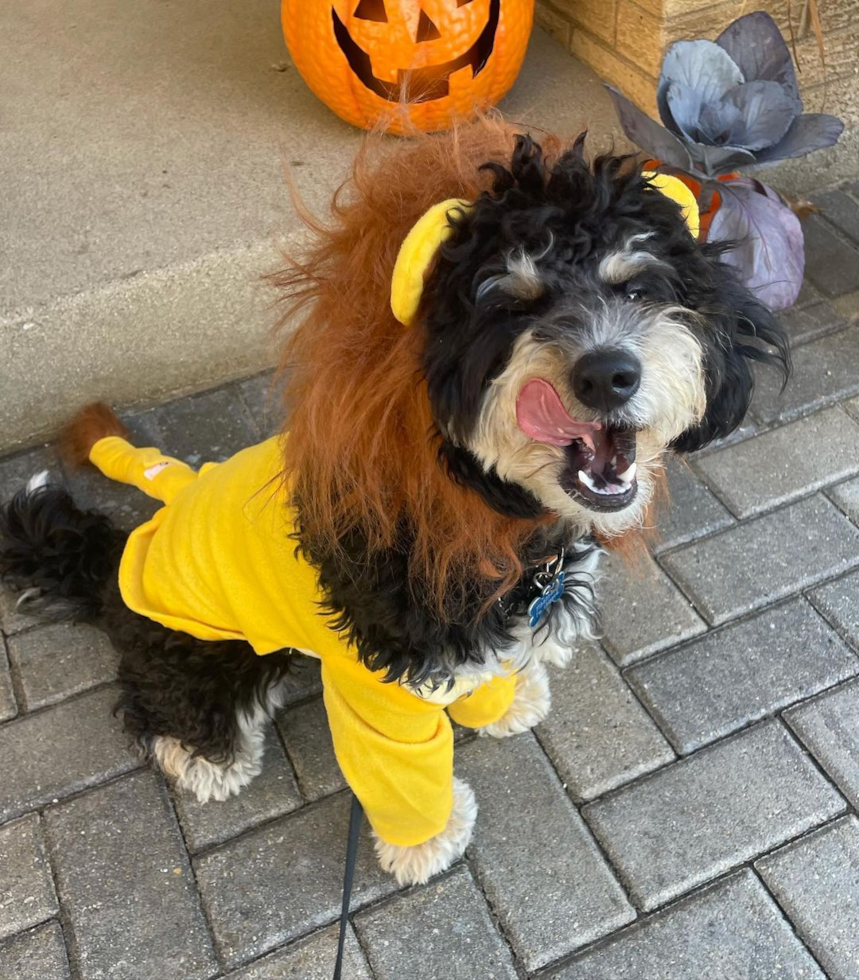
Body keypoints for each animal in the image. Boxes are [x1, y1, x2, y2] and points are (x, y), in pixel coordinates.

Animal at [0, 118, 788, 884]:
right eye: (513, 306)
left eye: (635, 287)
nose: (607, 375)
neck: (502, 524)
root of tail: (120, 558)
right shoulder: (376, 686)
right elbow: (398, 772)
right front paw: (425, 842)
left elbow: (487, 672)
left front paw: (504, 701)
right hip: (208, 651)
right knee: (165, 702)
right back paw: (204, 756)